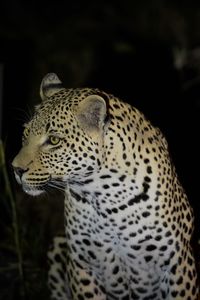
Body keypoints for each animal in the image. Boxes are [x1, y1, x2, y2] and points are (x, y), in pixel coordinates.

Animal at [12, 73, 198, 300]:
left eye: (54, 140)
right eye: (25, 134)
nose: (15, 169)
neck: (106, 197)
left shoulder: (178, 263)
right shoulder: (82, 264)